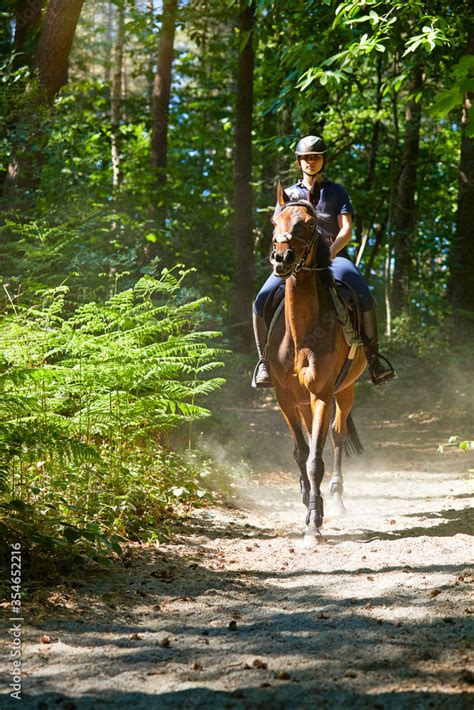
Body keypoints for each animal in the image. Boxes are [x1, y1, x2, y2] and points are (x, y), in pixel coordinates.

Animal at [266, 182, 366, 540]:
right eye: (274, 222)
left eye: (308, 225)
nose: (281, 258)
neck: (301, 335)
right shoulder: (283, 396)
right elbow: (301, 453)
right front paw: (307, 502)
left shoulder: (322, 393)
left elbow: (315, 460)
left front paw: (314, 521)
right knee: (314, 437)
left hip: (346, 390)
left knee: (336, 436)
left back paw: (336, 498)